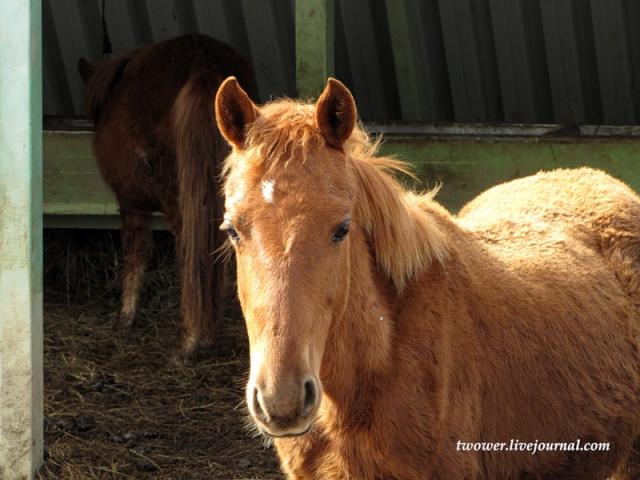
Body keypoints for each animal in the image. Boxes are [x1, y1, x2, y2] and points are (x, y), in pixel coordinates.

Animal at [80, 34, 258, 356]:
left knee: (188, 251)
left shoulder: (131, 204)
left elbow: (134, 255)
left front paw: (126, 317)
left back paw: (192, 338)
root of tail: (201, 62)